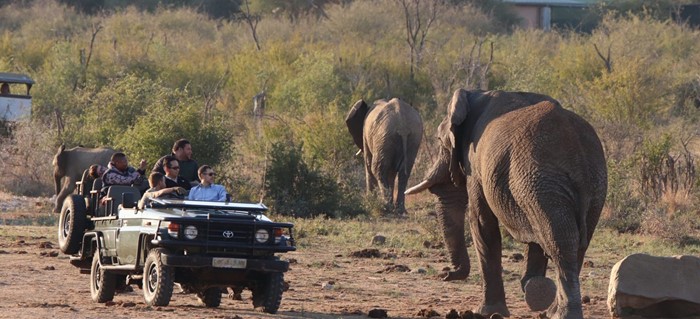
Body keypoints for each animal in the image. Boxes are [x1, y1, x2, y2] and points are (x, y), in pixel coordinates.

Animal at [404, 89, 608, 319]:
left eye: (440, 140)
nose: (445, 273)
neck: (476, 95)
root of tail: (578, 155)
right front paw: (532, 288)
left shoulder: (476, 166)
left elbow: (481, 223)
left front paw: (486, 311)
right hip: (586, 185)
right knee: (577, 243)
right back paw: (550, 307)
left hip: (543, 181)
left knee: (562, 243)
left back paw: (561, 313)